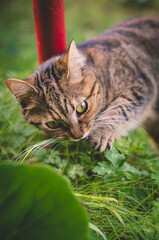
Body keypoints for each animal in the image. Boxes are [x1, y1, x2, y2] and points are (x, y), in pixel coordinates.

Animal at [4, 16, 159, 152]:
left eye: (82, 107)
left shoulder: (142, 85)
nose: (78, 135)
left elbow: (120, 106)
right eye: (52, 124)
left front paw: (101, 132)